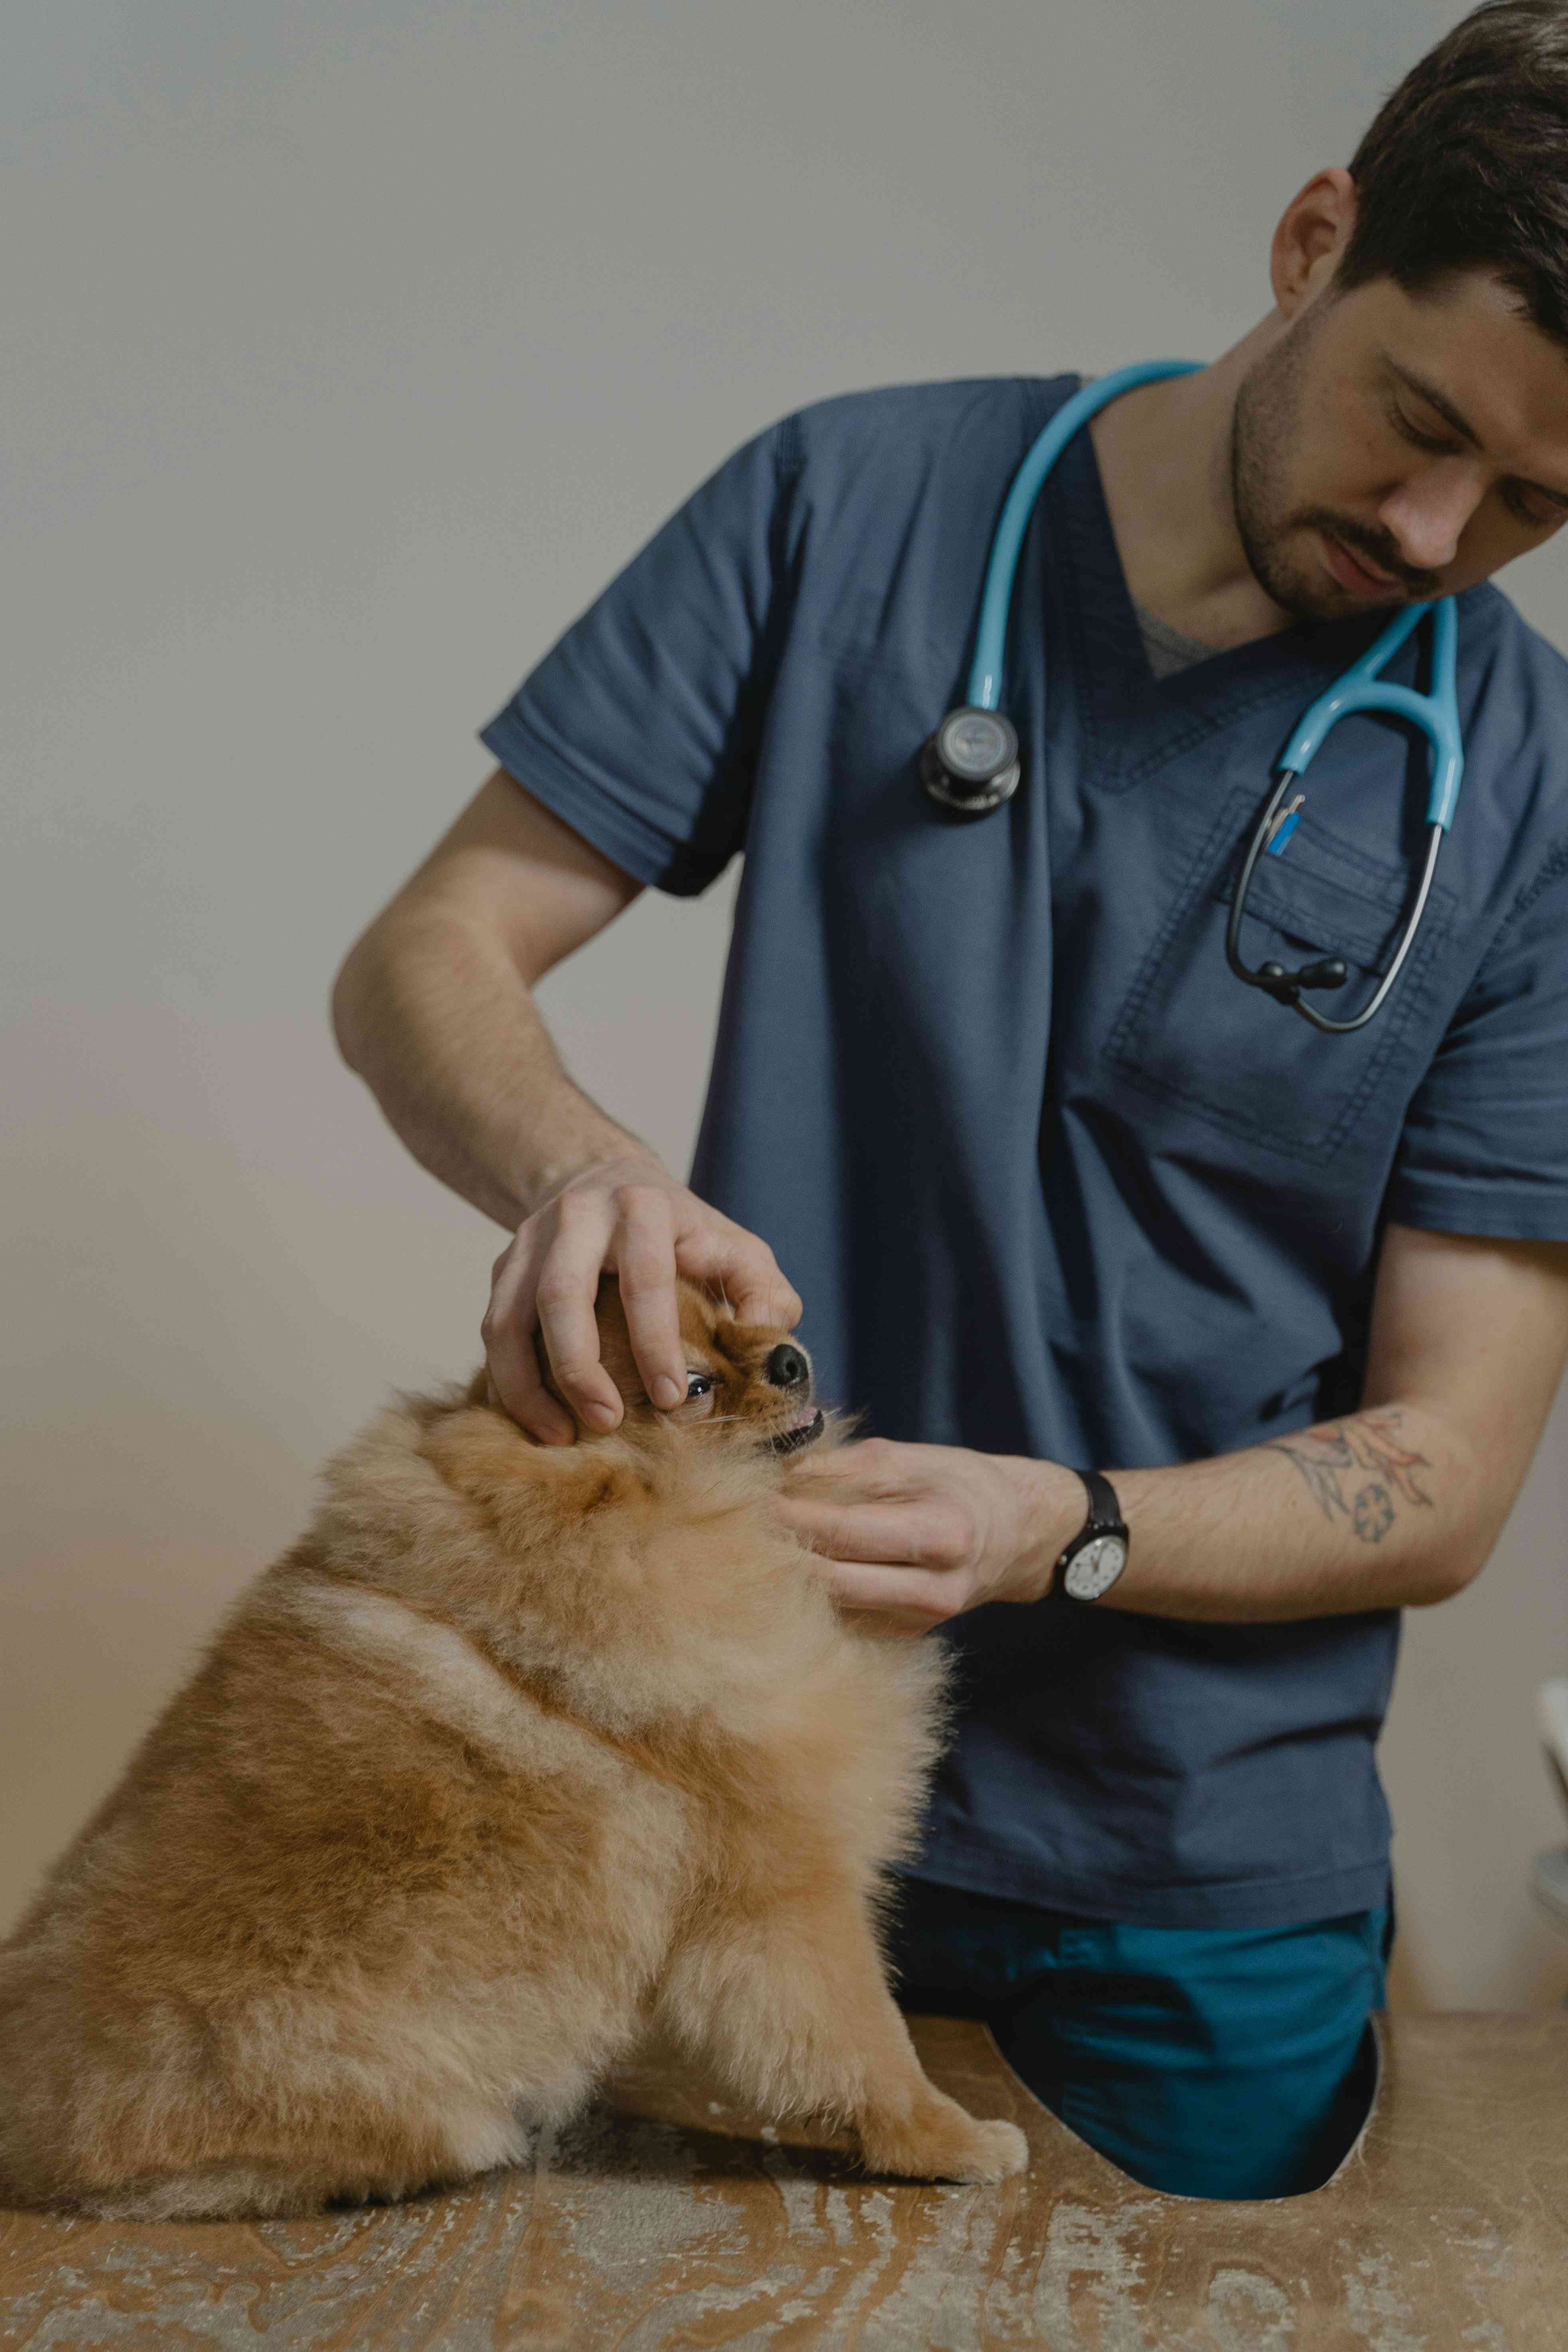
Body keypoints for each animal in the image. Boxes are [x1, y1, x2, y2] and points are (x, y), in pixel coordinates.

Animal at [0, 1279, 1029, 2211]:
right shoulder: (782, 1892)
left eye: (730, 1309)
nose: (789, 1356)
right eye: (694, 1385)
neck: (675, 1522)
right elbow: (866, 2041)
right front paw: (950, 2138)